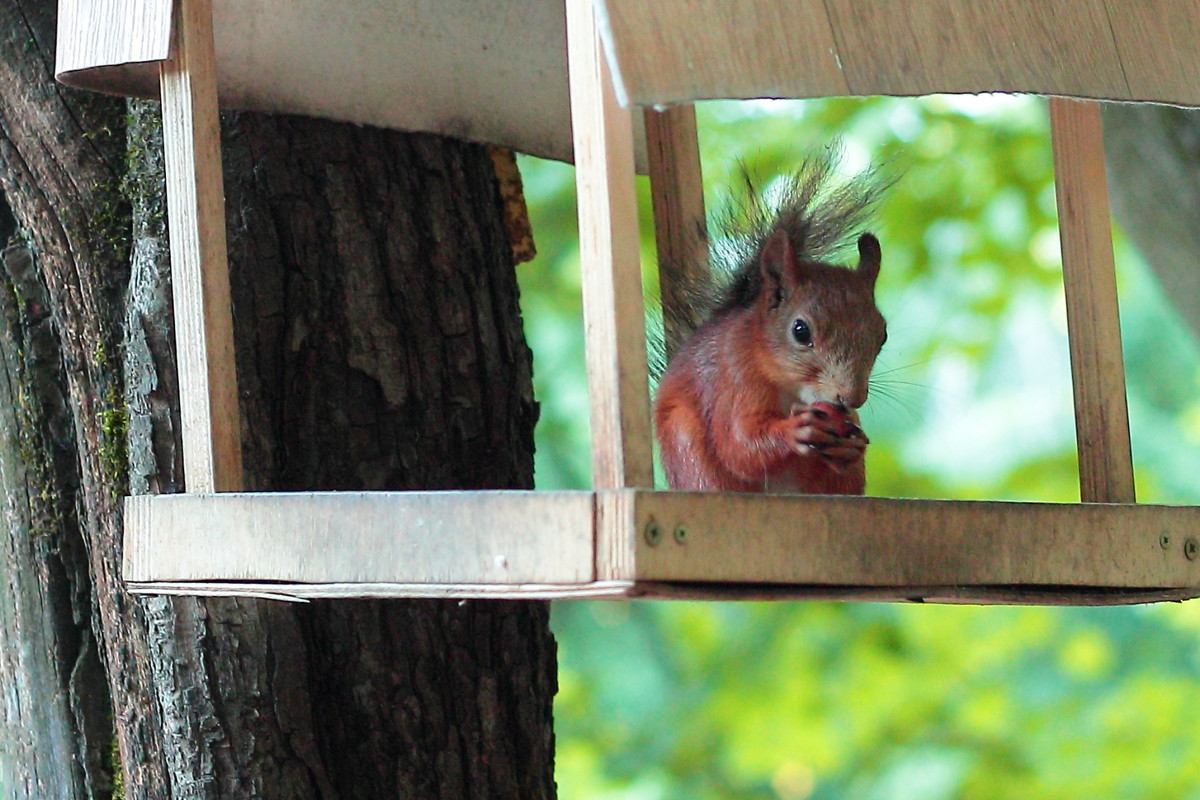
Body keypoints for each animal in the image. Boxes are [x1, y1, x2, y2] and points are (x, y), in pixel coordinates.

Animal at [652, 146, 888, 491]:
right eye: (800, 331)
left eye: (882, 336)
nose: (851, 399)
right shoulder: (732, 379)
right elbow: (739, 446)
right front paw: (795, 431)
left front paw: (850, 446)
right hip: (686, 445)